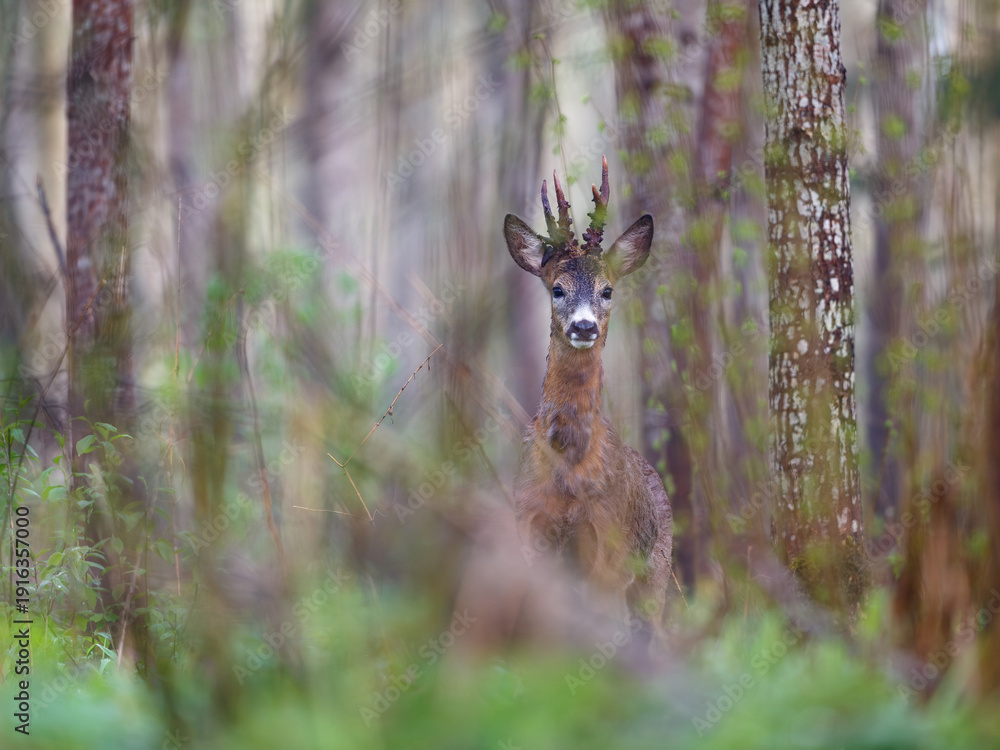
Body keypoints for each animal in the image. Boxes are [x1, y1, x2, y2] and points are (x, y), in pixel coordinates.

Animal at [503, 157, 673, 642]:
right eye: (557, 288)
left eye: (607, 290)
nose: (583, 326)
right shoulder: (530, 529)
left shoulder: (608, 543)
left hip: (655, 571)